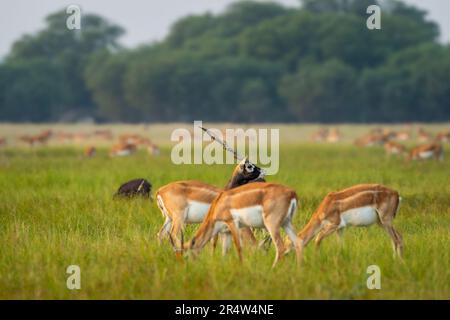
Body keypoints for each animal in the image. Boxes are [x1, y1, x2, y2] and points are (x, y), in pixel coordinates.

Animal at [173, 182, 302, 268]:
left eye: (185, 256)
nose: (186, 267)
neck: (219, 203)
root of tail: (292, 193)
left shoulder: (233, 223)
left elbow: (239, 247)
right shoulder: (226, 232)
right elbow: (225, 251)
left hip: (272, 225)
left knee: (280, 248)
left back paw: (272, 269)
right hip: (286, 223)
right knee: (298, 242)